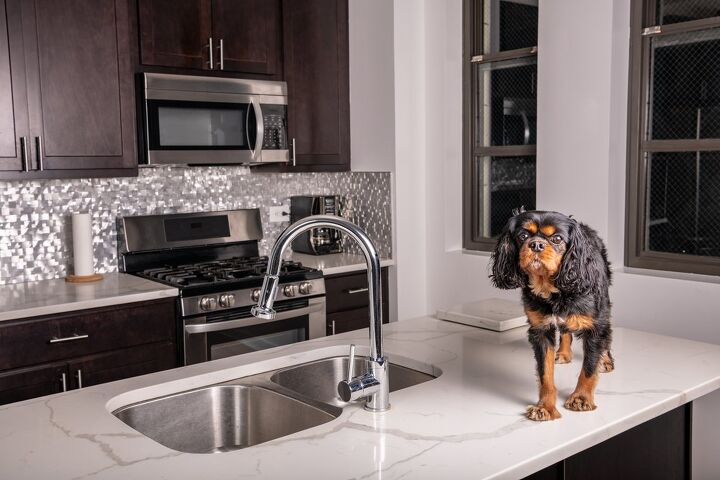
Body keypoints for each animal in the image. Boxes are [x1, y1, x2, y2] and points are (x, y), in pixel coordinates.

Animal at [492, 208, 616, 422]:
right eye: (523, 236)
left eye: (557, 238)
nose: (536, 244)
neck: (553, 289)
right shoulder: (541, 331)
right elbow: (545, 375)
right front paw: (545, 407)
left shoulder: (594, 326)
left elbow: (589, 368)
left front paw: (581, 398)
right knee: (566, 331)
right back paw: (564, 353)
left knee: (606, 334)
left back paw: (606, 360)